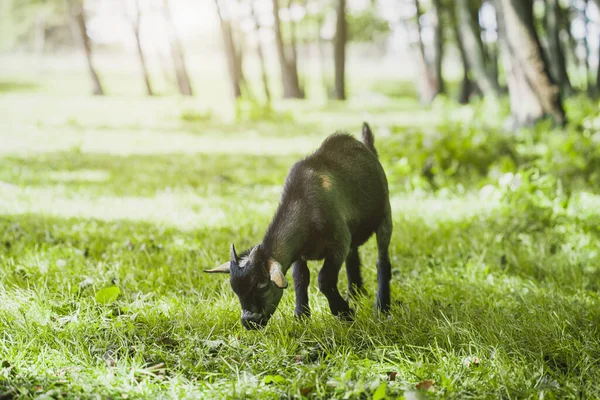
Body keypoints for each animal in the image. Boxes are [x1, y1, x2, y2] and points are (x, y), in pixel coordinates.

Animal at [206, 123, 394, 330]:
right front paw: (301, 315)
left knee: (382, 261)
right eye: (235, 289)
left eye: (263, 286)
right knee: (353, 258)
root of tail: (368, 149)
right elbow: (300, 278)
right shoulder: (299, 253)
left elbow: (324, 279)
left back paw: (382, 306)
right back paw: (355, 294)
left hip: (385, 215)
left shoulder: (339, 242)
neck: (305, 204)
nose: (250, 322)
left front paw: (344, 313)